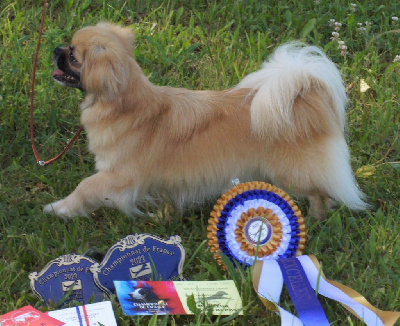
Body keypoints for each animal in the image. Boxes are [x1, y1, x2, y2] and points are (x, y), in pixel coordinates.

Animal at [43, 21, 366, 218]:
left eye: (73, 57)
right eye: (67, 47)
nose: (56, 49)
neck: (125, 107)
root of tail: (308, 95)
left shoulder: (119, 176)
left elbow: (85, 188)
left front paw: (59, 208)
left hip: (292, 173)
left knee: (320, 193)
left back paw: (315, 218)